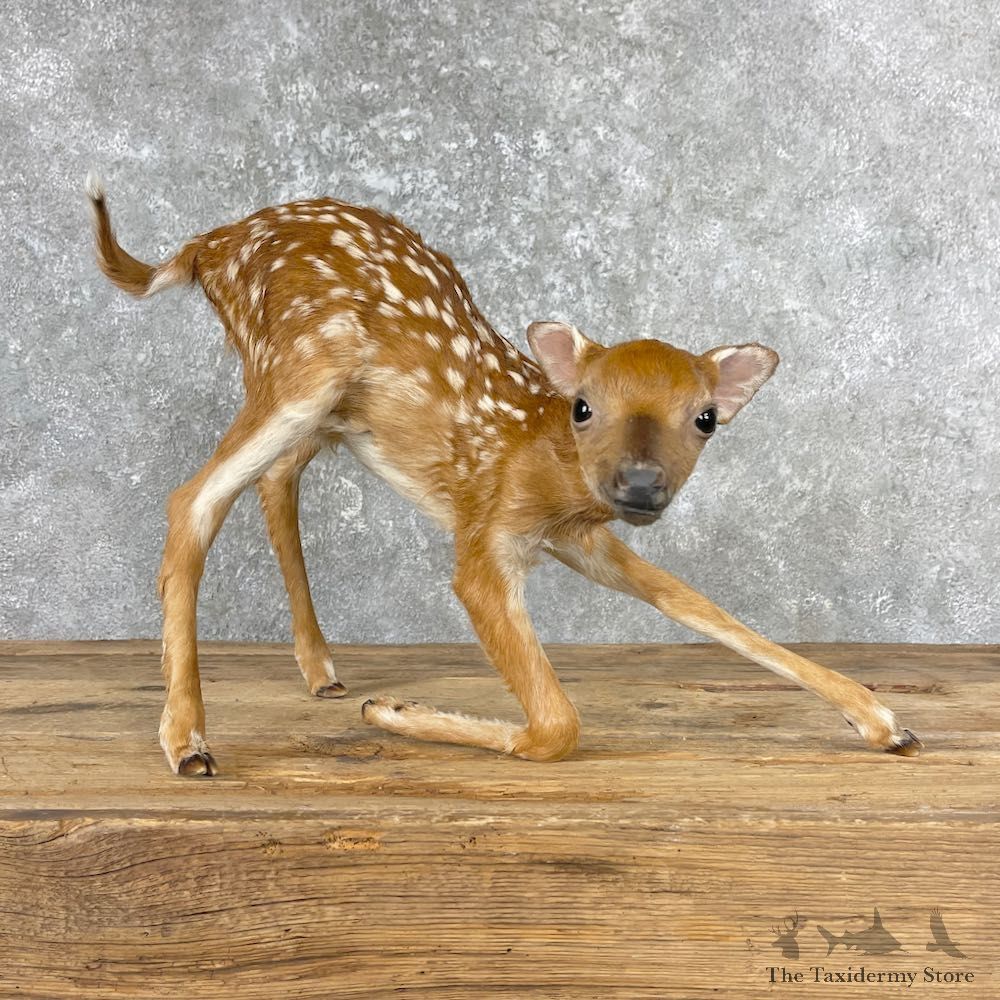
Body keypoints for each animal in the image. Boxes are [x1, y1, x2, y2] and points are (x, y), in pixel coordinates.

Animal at [87, 173, 923, 776]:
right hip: (299, 367)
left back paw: (320, 669)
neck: (547, 472)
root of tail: (209, 243)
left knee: (270, 479)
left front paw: (880, 719)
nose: (640, 485)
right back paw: (188, 740)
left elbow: (698, 604)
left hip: (323, 409)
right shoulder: (486, 538)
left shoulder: (586, 538)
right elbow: (557, 723)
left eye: (706, 418)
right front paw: (394, 711)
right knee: (192, 499)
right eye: (583, 406)